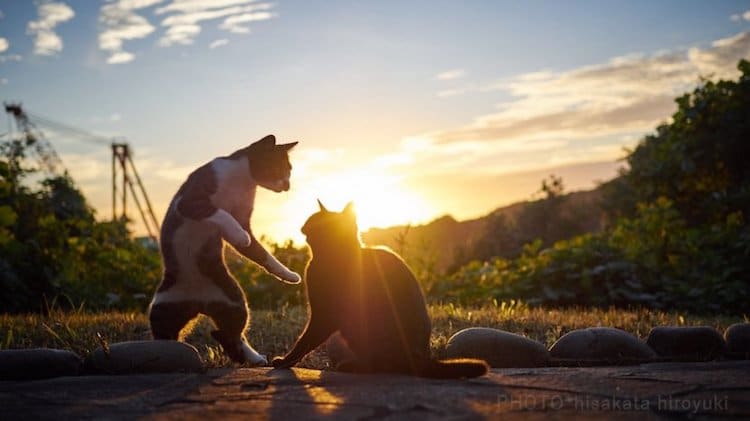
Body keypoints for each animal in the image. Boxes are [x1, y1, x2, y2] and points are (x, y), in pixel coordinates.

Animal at [148, 134, 302, 364]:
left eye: (289, 170)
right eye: (280, 168)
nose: (288, 185)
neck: (242, 182)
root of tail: (199, 304)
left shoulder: (243, 217)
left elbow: (261, 253)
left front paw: (288, 274)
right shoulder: (191, 201)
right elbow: (220, 212)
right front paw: (240, 235)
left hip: (234, 301)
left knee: (232, 334)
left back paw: (254, 357)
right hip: (162, 308)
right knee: (168, 335)